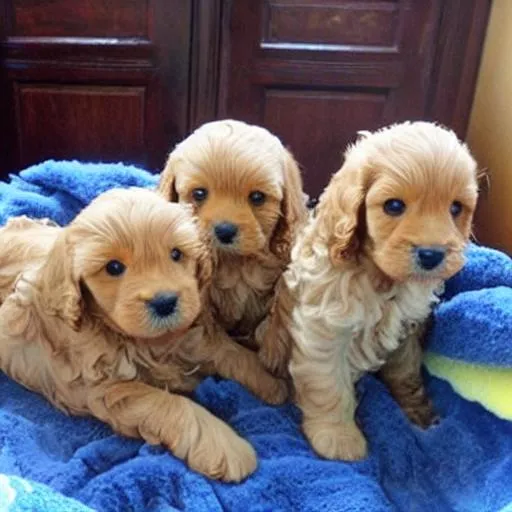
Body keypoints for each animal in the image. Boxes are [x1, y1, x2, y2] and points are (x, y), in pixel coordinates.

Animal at [0, 188, 288, 480]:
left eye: (176, 254)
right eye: (114, 267)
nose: (165, 302)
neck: (147, 342)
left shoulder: (191, 335)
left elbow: (228, 351)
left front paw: (270, 381)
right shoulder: (107, 390)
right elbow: (167, 402)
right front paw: (225, 446)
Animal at [157, 119, 308, 376]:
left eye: (257, 197)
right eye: (199, 193)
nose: (225, 230)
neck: (236, 262)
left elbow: (283, 297)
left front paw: (272, 353)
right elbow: (220, 344)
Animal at [286, 123, 478, 460]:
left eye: (456, 208)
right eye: (394, 206)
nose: (432, 255)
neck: (381, 279)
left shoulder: (408, 327)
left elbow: (406, 370)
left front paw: (418, 409)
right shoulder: (324, 330)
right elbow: (329, 385)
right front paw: (338, 437)